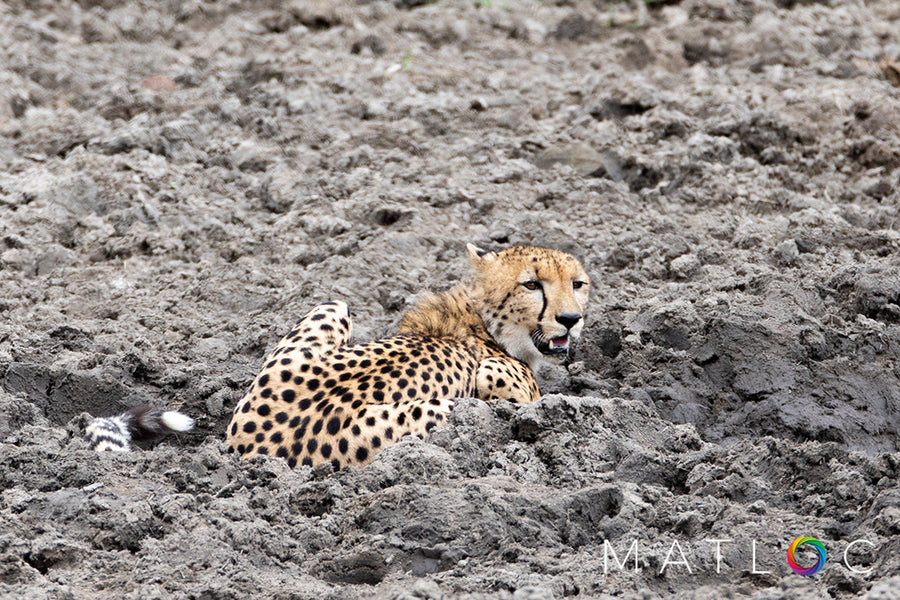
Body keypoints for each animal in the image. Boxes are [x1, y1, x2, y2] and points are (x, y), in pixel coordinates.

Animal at [227, 244, 592, 468]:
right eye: (531, 285)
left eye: (578, 284)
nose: (571, 319)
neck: (484, 323)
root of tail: (248, 448)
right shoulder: (500, 376)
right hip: (449, 409)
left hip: (332, 304)